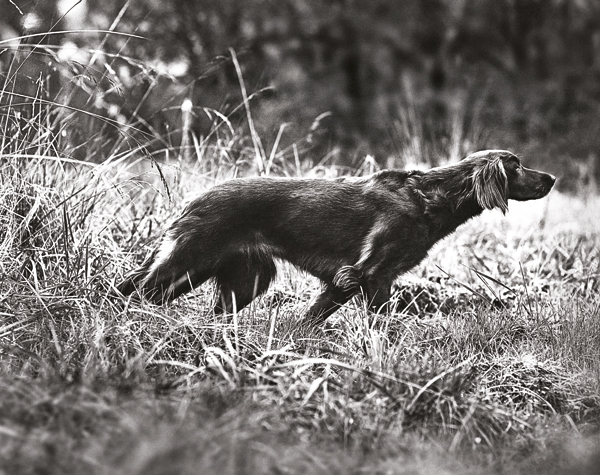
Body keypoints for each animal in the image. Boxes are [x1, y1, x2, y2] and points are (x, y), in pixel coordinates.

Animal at [118, 151, 556, 326]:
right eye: (517, 166)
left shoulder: (343, 281)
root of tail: (194, 198)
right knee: (134, 289)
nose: (551, 178)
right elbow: (382, 323)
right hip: (189, 260)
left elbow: (310, 319)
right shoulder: (371, 274)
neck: (429, 199)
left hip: (247, 278)